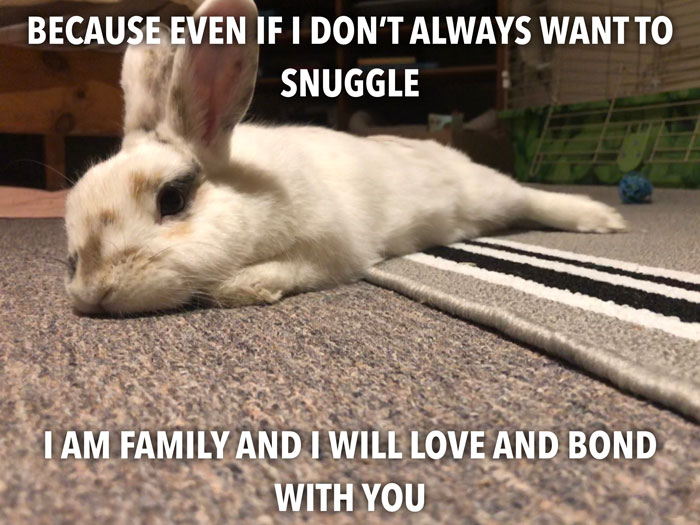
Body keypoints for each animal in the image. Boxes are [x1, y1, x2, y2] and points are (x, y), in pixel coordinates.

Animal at [64, 0, 626, 315]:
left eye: (173, 199)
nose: (90, 294)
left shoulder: (332, 251)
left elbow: (281, 273)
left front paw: (244, 287)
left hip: (488, 194)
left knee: (531, 197)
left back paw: (604, 219)